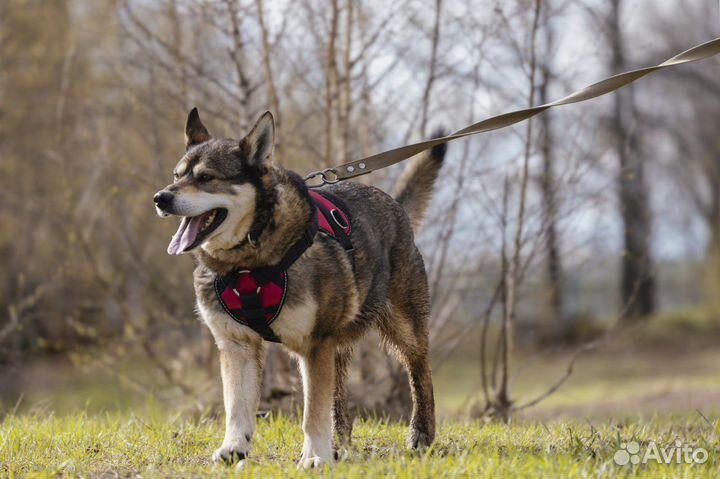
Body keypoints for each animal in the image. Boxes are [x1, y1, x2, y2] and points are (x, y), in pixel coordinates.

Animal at [154, 109, 444, 468]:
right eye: (176, 175)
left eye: (206, 177)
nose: (161, 198)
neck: (248, 262)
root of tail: (396, 206)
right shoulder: (237, 346)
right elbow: (237, 406)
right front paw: (234, 447)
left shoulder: (314, 344)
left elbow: (311, 413)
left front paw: (315, 456)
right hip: (338, 345)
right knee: (339, 398)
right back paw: (339, 444)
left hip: (403, 329)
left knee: (421, 374)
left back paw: (420, 434)